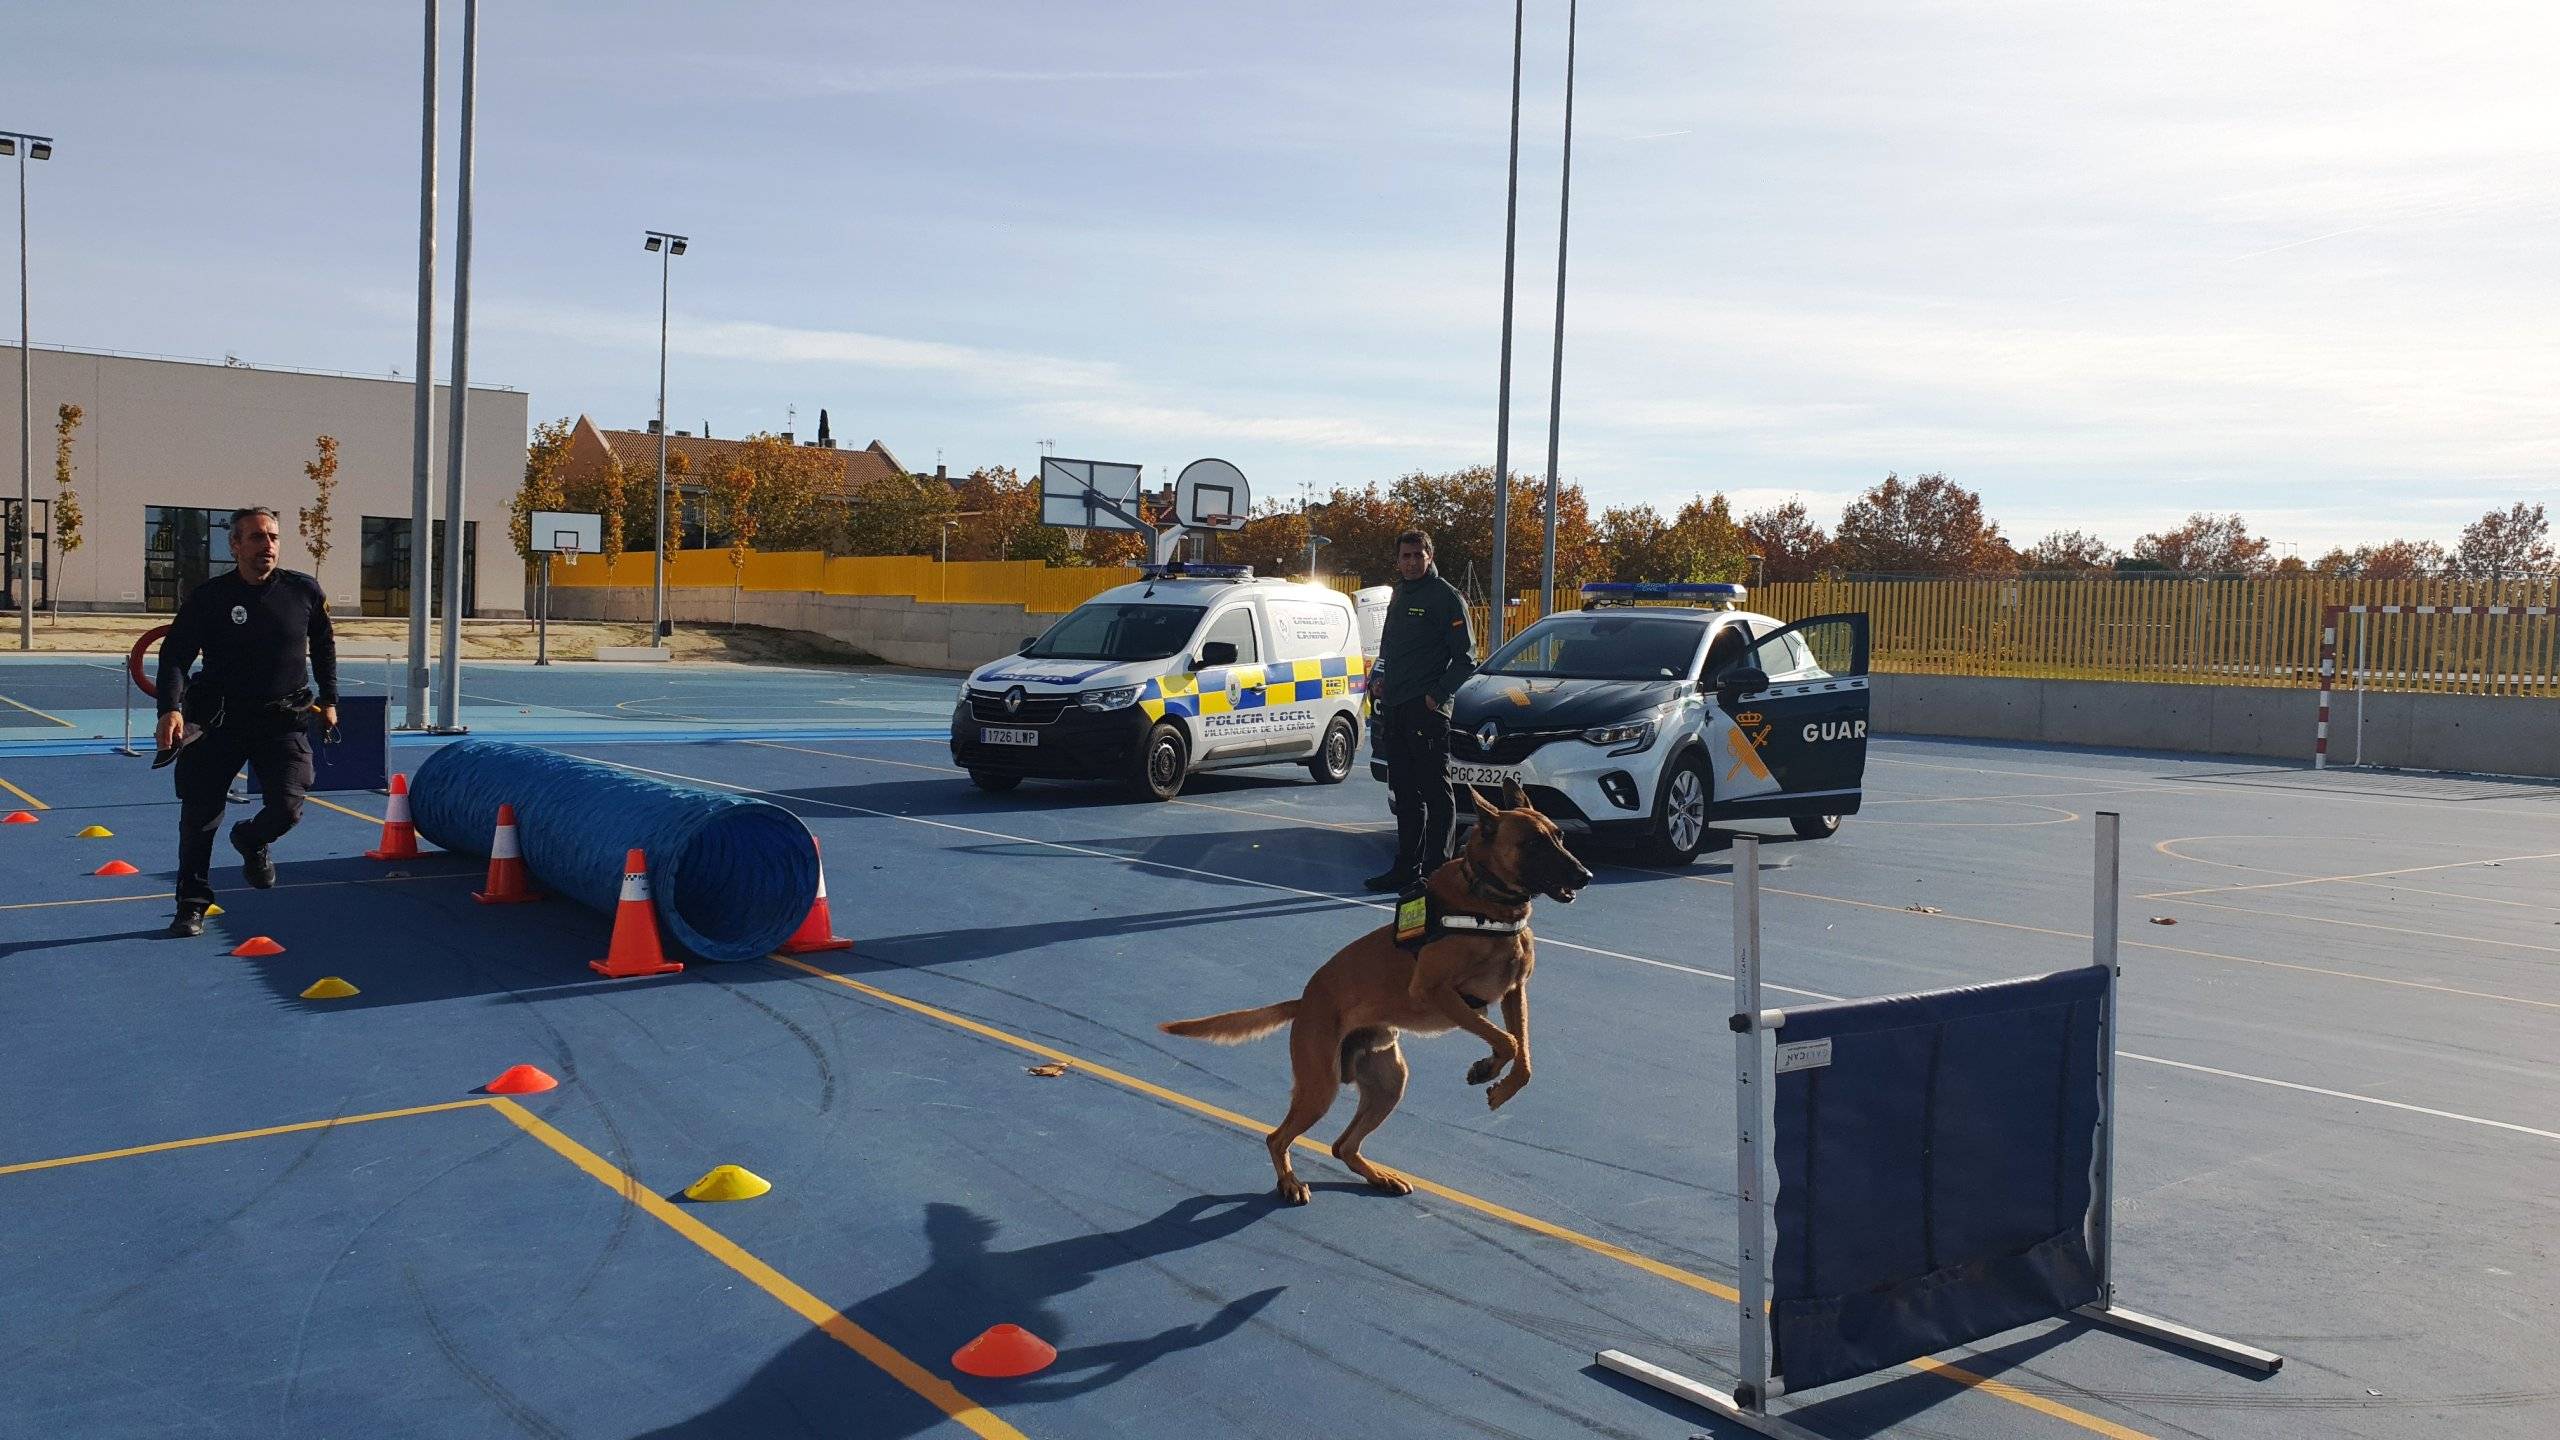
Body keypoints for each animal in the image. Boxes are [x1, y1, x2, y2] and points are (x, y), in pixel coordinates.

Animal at [1157, 773, 1576, 1199]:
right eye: (1533, 843)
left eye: (1560, 836)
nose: (1585, 876)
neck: (1488, 904)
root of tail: (1304, 1001)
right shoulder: (1435, 991)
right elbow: (1507, 1042)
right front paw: (1487, 1068)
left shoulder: (1514, 993)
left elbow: (1523, 1057)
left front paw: (1499, 1080)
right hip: (1319, 1087)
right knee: (1278, 1138)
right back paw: (1290, 1181)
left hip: (1388, 1083)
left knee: (1342, 1145)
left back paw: (1379, 1177)